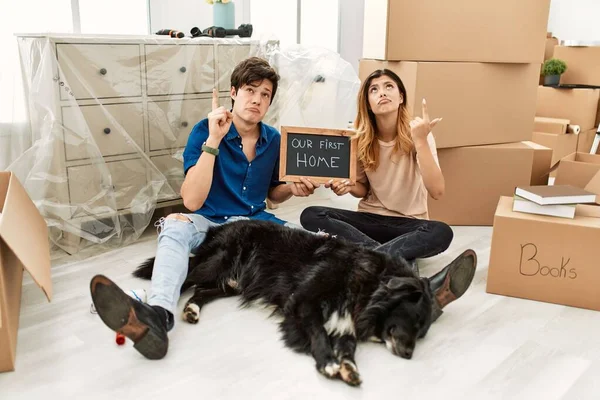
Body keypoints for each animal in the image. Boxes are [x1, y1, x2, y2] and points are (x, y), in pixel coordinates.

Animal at [132, 220, 432, 386]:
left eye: (422, 332)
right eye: (414, 320)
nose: (409, 355)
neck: (367, 281)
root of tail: (220, 227)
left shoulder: (345, 321)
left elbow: (348, 348)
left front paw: (349, 369)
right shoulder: (303, 303)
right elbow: (319, 333)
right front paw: (328, 363)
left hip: (234, 283)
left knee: (202, 292)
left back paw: (192, 310)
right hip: (216, 265)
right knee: (186, 278)